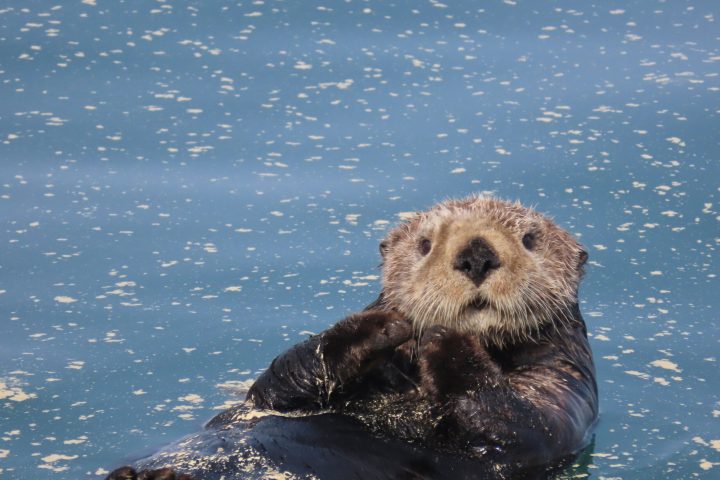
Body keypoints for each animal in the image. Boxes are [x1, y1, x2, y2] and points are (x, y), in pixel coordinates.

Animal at [107, 196, 598, 480]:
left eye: (530, 239)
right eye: (424, 244)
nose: (476, 254)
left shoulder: (564, 384)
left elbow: (526, 423)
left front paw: (447, 339)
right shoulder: (273, 396)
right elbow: (278, 382)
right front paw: (380, 326)